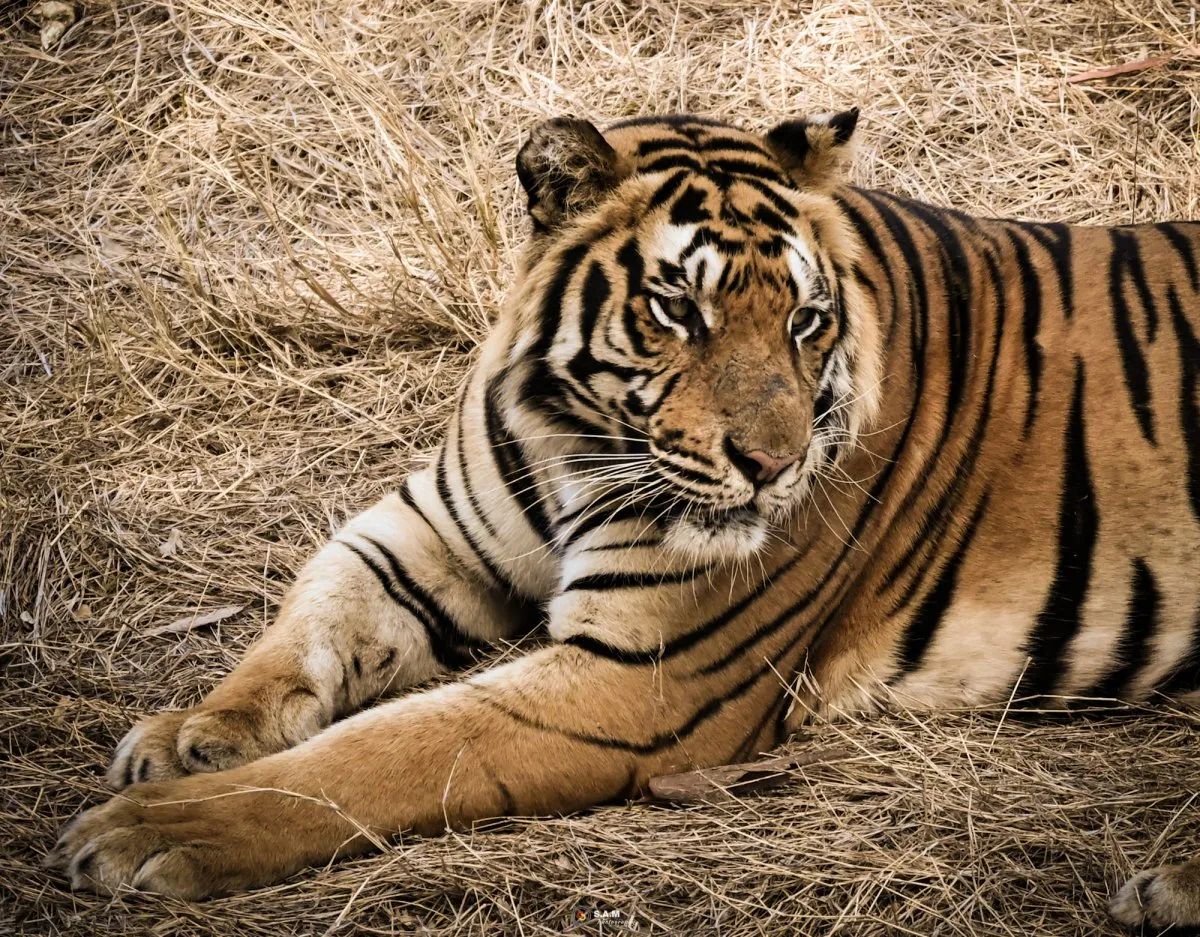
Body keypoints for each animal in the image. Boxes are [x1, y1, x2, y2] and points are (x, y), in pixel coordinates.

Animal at [46, 109, 1200, 928]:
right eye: (678, 309)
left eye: (806, 319)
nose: (774, 467)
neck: (575, 439)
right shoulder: (427, 532)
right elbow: (307, 620)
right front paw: (194, 736)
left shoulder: (646, 677)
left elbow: (385, 750)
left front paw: (148, 832)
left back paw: (1161, 889)